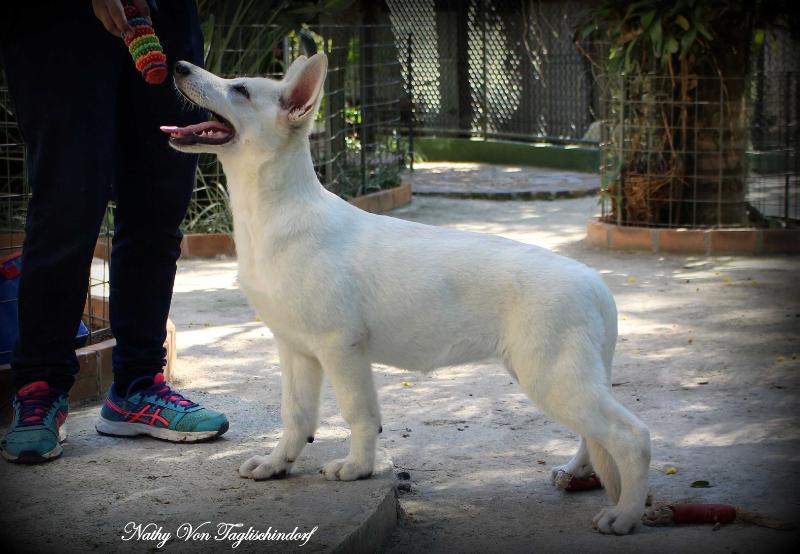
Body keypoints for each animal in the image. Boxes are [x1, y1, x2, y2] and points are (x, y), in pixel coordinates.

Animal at [161, 54, 648, 532]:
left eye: (240, 89)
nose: (179, 66)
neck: (276, 213)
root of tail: (596, 284)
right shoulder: (296, 351)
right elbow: (295, 417)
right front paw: (276, 465)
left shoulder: (341, 348)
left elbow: (359, 415)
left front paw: (356, 469)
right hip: (566, 376)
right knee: (597, 435)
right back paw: (578, 473)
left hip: (552, 377)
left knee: (631, 436)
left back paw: (625, 515)